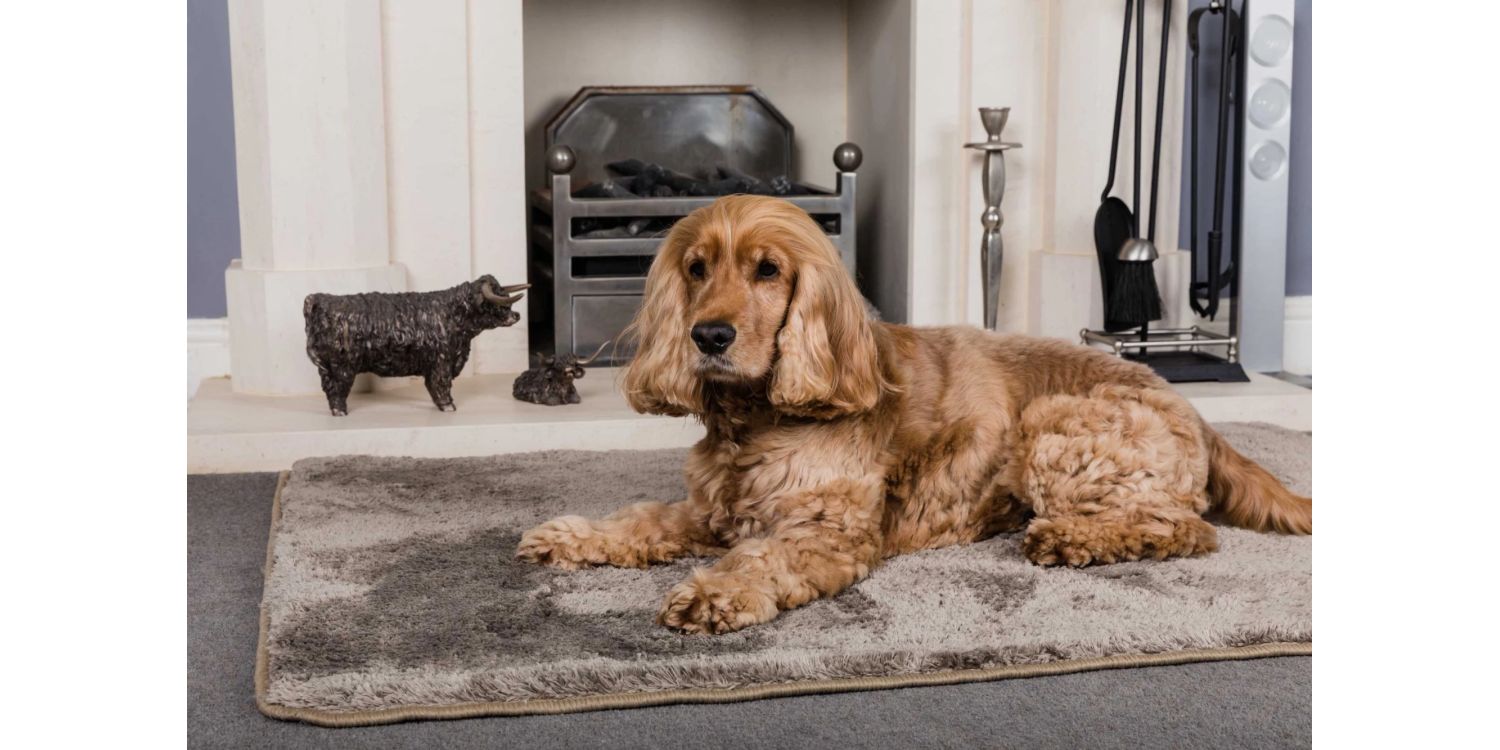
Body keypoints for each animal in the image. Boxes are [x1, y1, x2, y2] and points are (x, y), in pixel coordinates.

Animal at [516, 195, 1311, 634]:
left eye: (768, 270)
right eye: (696, 268)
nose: (707, 336)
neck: (760, 417)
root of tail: (1192, 408)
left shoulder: (826, 532)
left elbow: (760, 558)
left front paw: (714, 593)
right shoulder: (712, 510)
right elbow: (641, 519)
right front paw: (571, 536)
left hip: (1053, 427)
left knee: (1185, 527)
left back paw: (1069, 539)